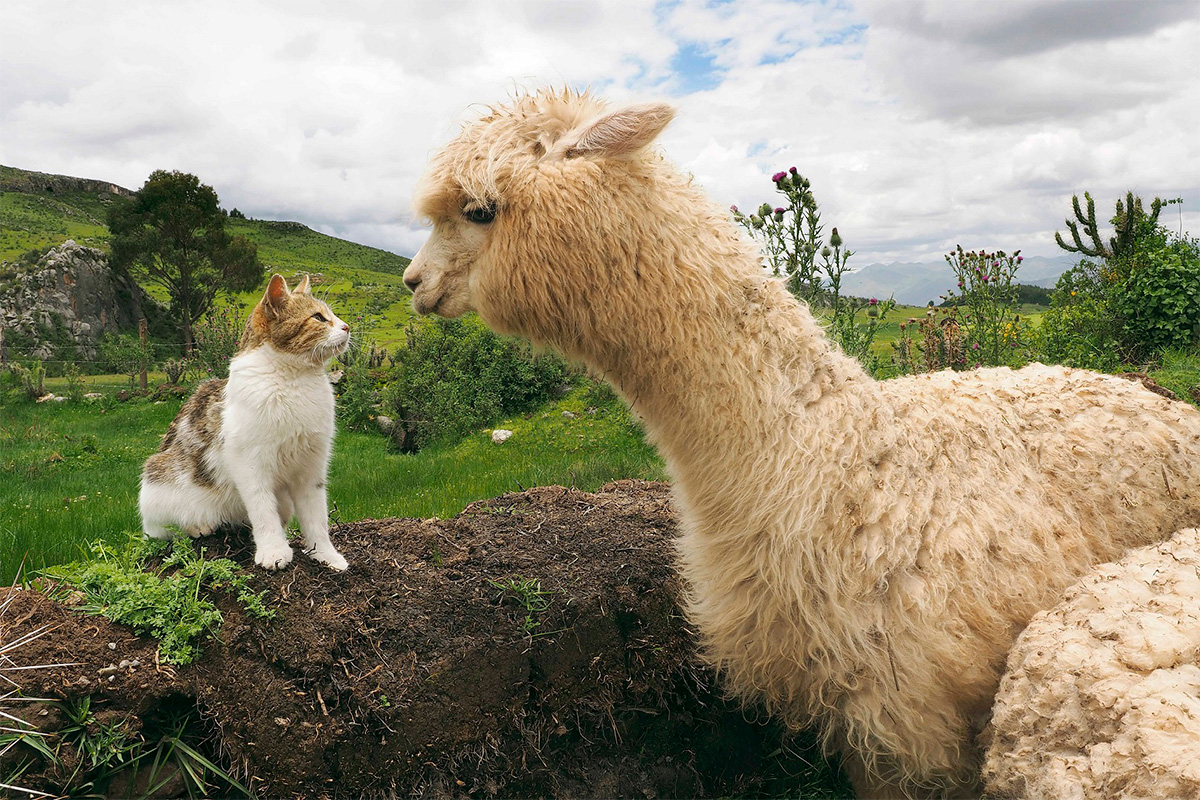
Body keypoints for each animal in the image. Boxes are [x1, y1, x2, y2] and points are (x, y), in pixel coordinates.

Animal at [140, 273, 351, 570]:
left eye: (332, 315)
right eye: (319, 318)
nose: (347, 327)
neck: (294, 379)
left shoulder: (311, 467)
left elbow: (316, 518)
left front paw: (325, 555)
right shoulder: (250, 464)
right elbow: (263, 510)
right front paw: (273, 551)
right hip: (158, 478)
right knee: (163, 529)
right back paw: (199, 526)